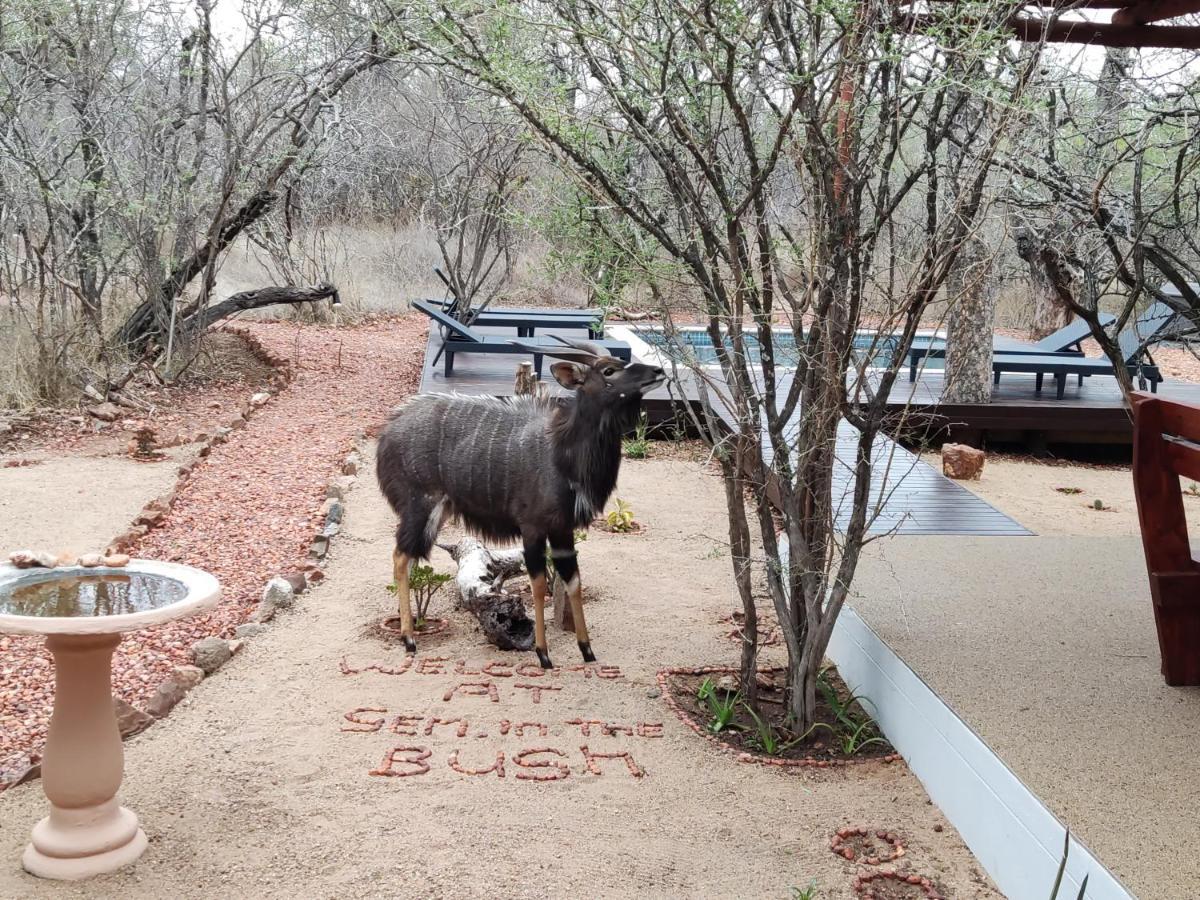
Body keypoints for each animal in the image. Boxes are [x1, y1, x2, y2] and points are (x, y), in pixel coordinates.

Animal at [376, 338, 667, 672]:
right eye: (609, 370)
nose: (658, 371)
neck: (561, 454)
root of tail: (386, 433)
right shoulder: (532, 528)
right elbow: (538, 584)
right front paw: (543, 654)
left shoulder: (562, 531)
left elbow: (574, 581)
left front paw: (587, 650)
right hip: (420, 507)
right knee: (400, 557)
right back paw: (409, 639)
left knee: (408, 558)